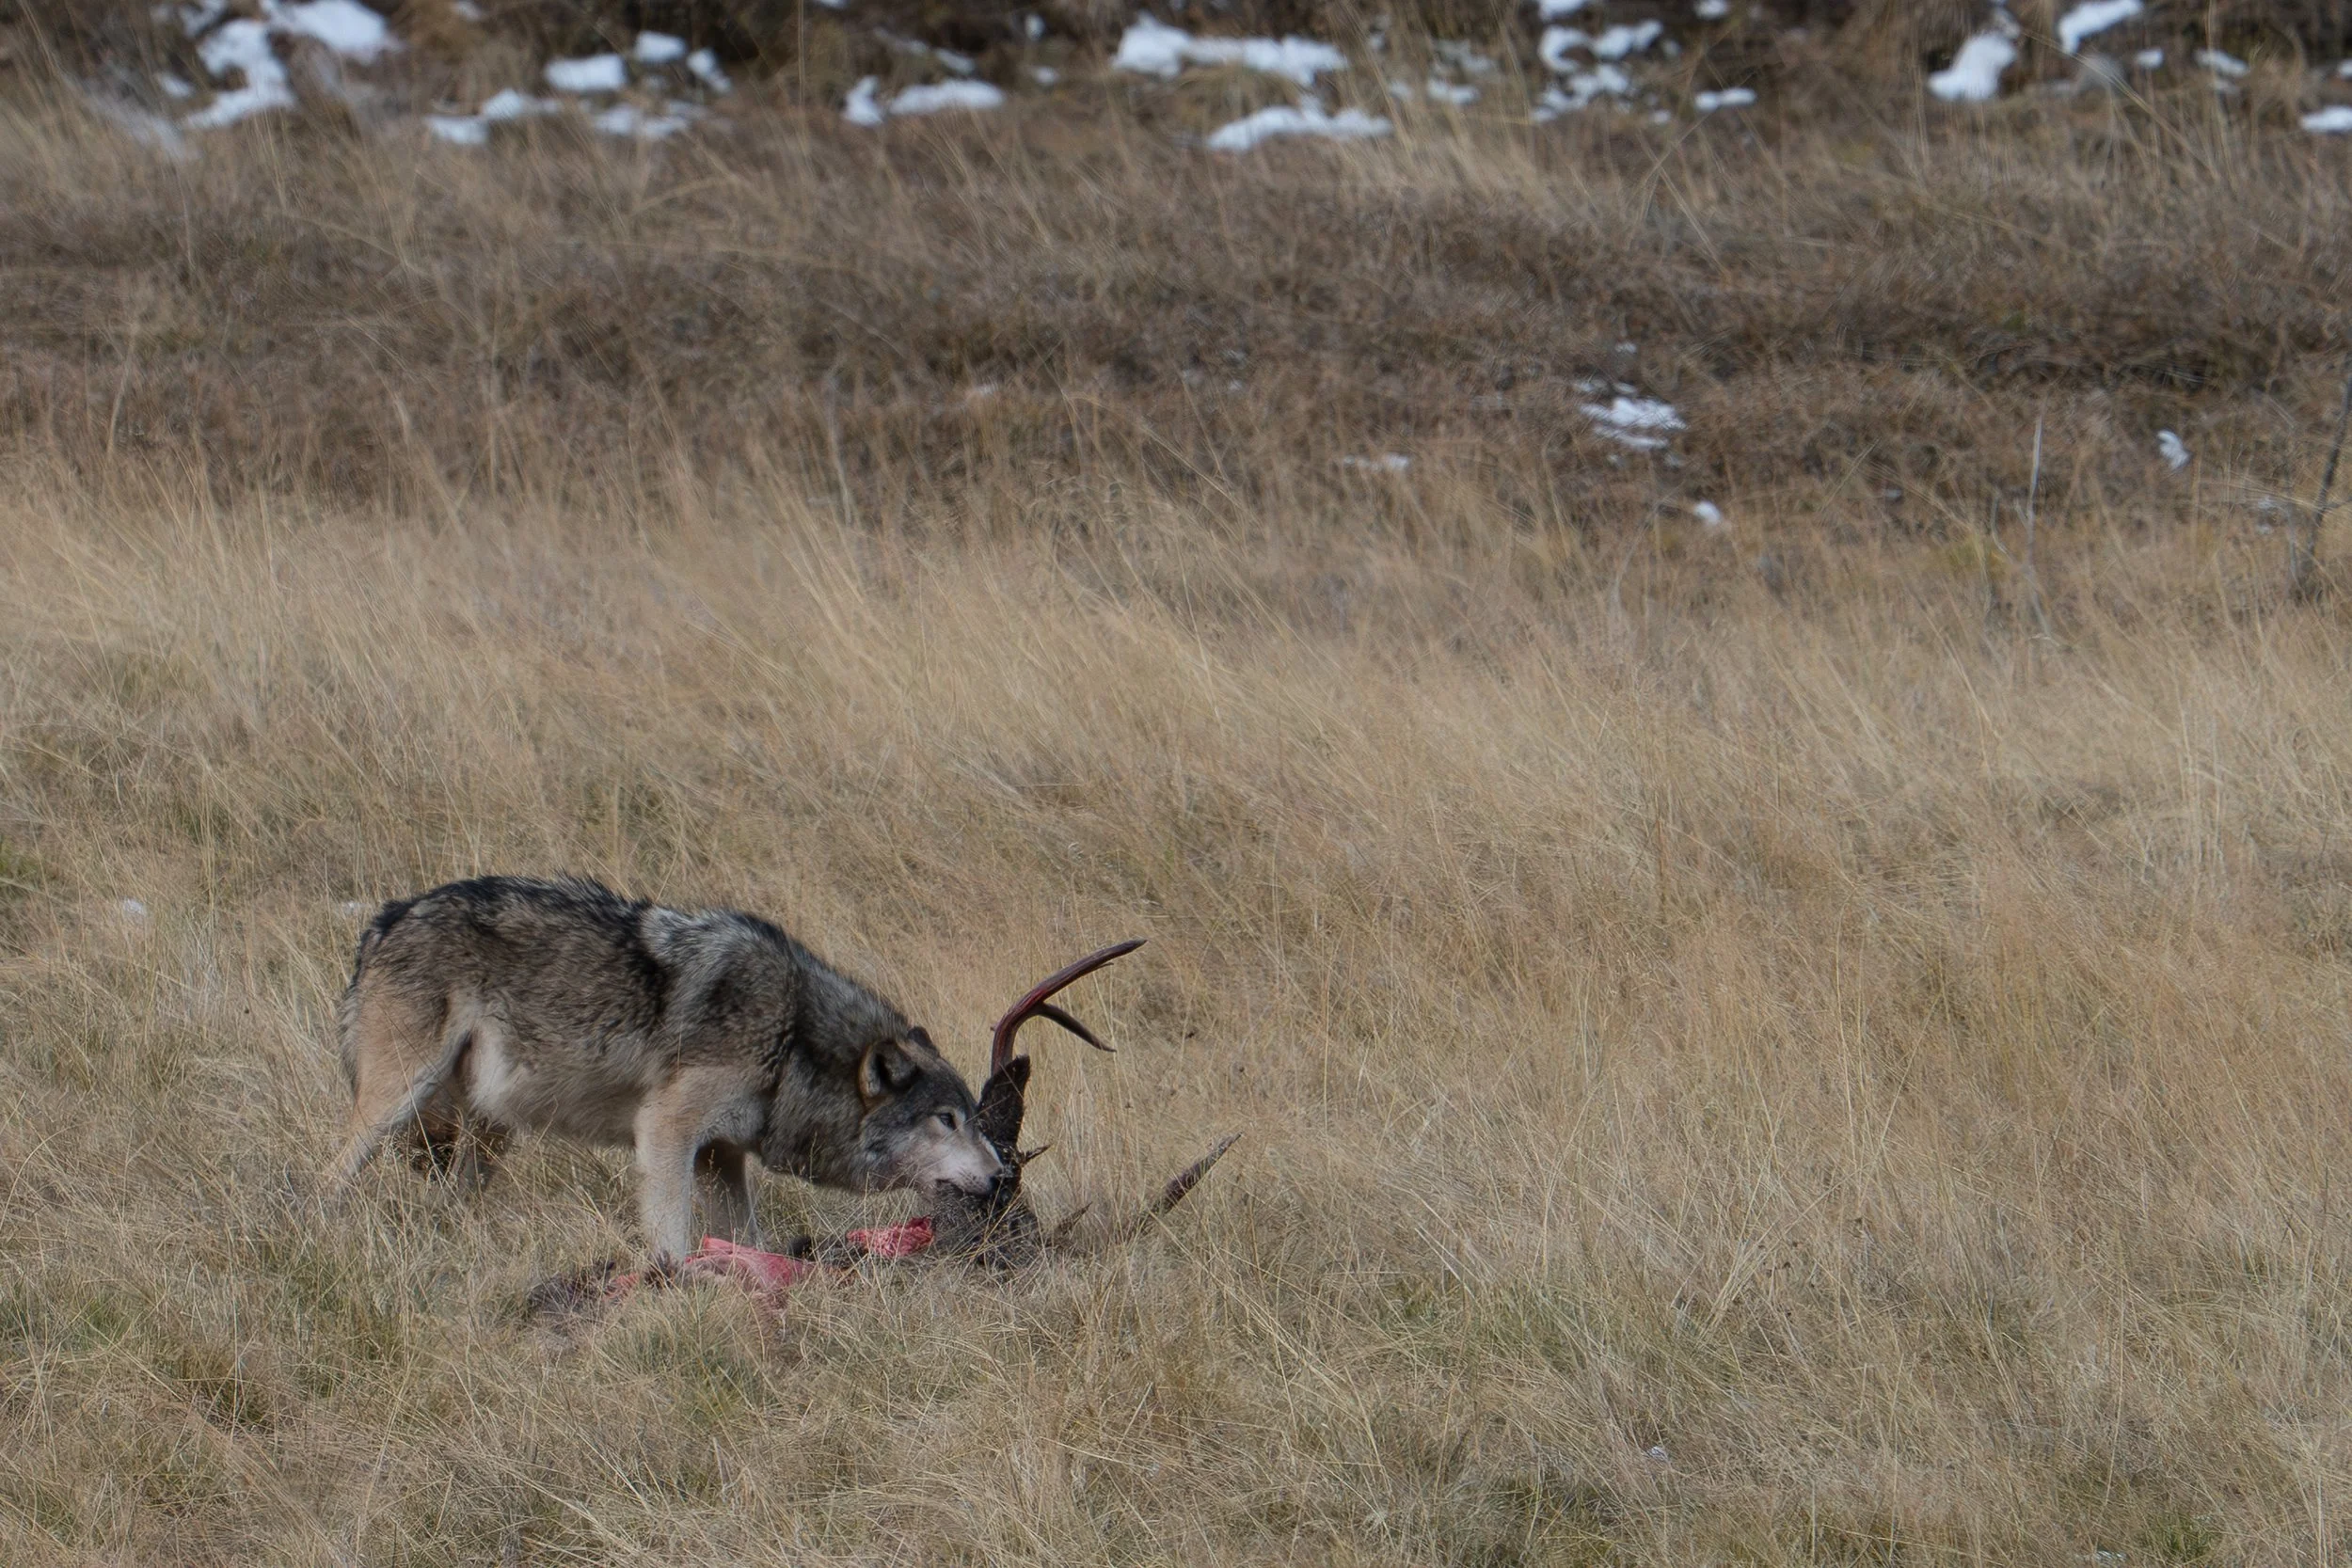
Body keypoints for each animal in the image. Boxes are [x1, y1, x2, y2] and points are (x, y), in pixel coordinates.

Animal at [330, 876, 1007, 1265]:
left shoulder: (718, 1155)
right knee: (330, 1173)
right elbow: (672, 1236)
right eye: (947, 1120)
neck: (793, 1039)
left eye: (973, 1118)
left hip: (490, 1130)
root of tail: (388, 917)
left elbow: (747, 1238)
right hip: (397, 1100)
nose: (1004, 1175)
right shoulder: (665, 1131)